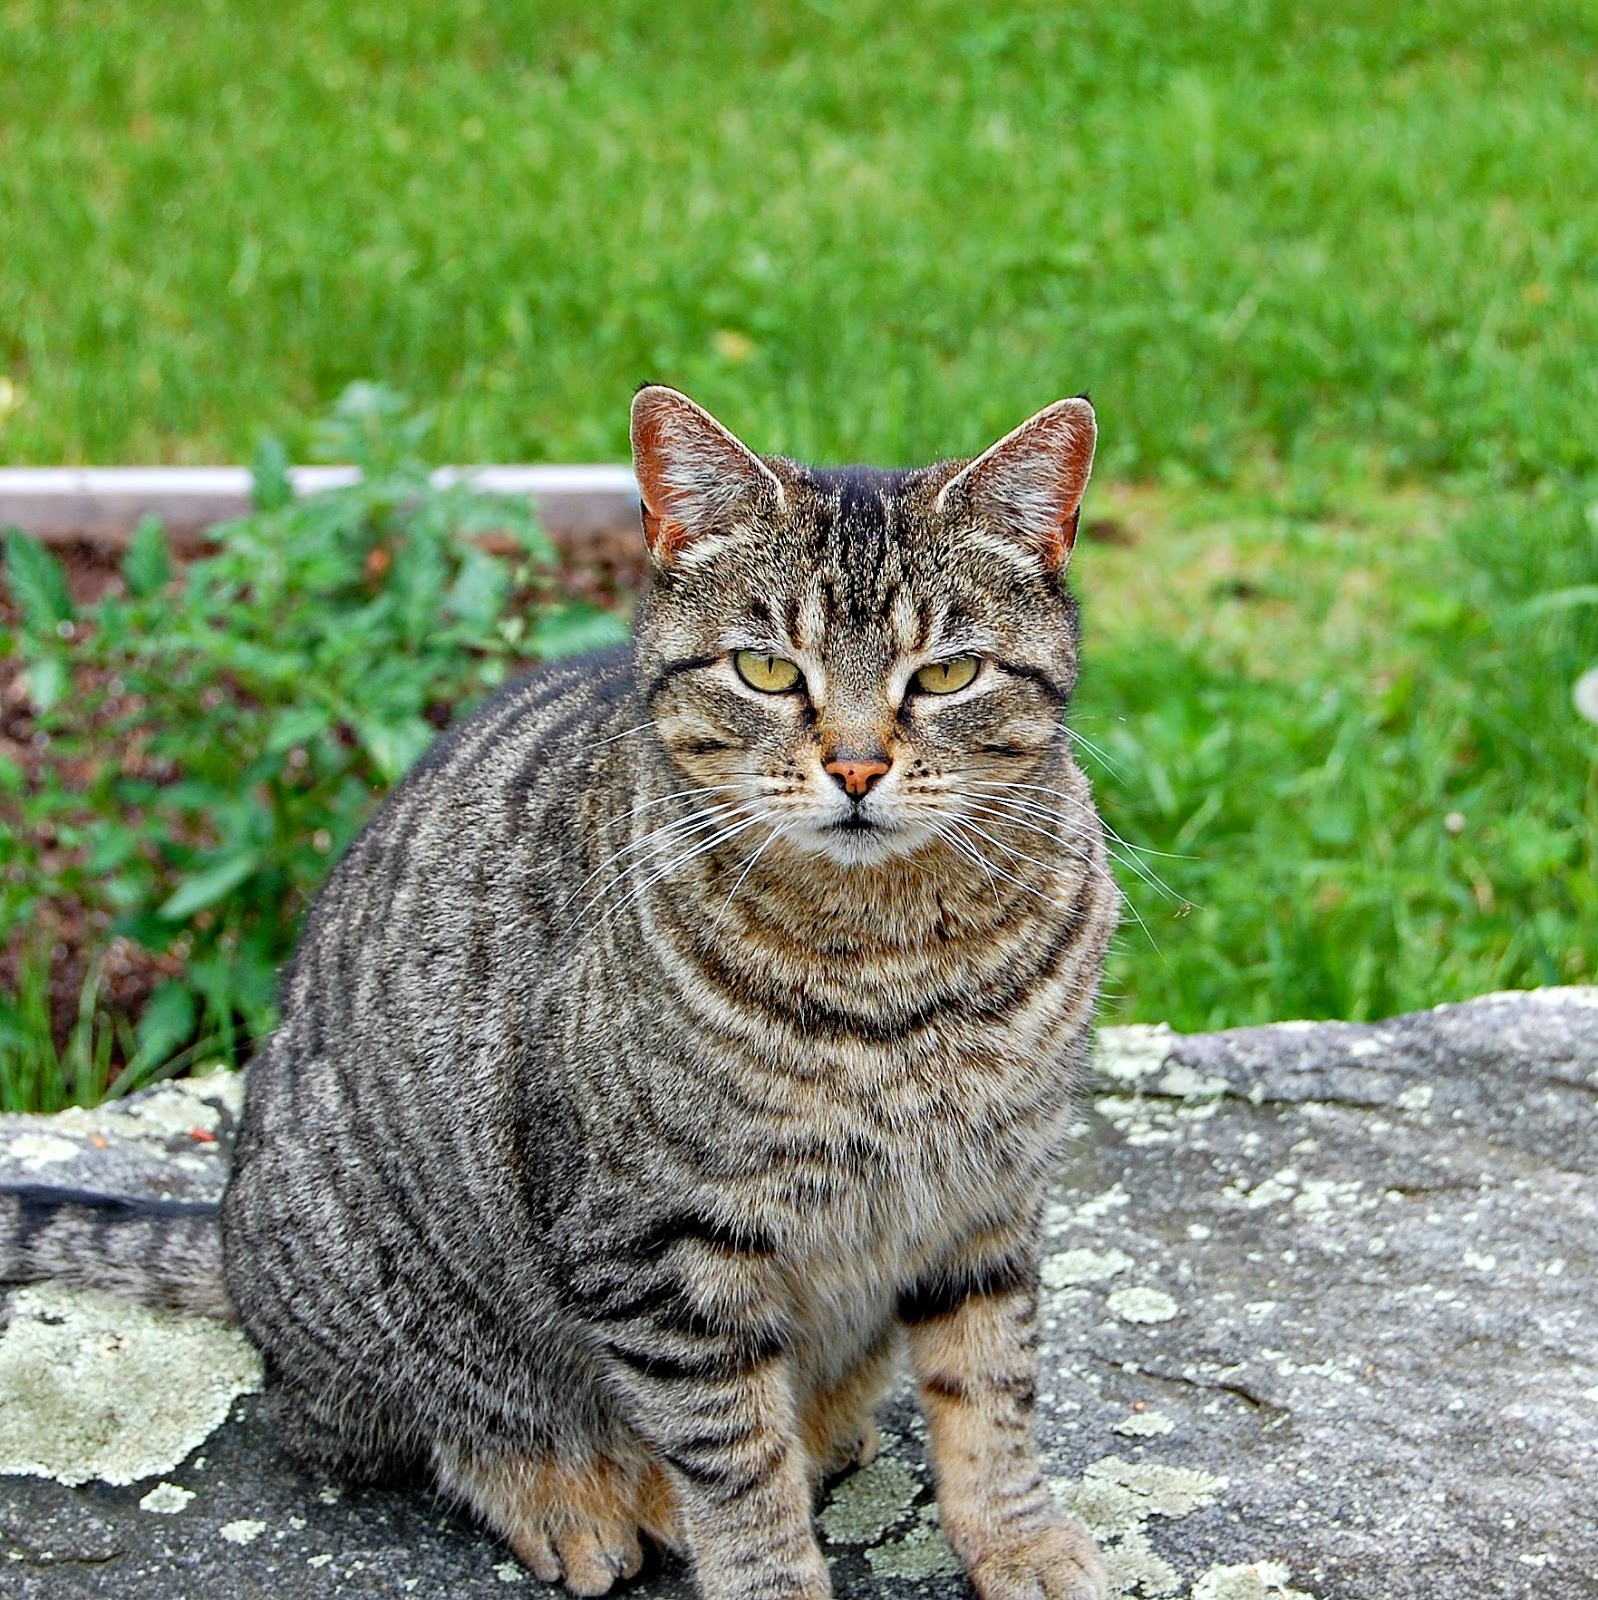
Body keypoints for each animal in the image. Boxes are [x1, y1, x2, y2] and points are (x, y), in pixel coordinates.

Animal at [6, 387, 1119, 1600]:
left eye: (948, 676)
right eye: (768, 671)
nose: (858, 767)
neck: (891, 965)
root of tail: (228, 1240)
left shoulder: (986, 1200)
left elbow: (990, 1397)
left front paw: (1018, 1541)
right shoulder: (657, 1248)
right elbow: (737, 1466)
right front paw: (772, 1574)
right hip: (394, 1298)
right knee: (403, 1424)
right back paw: (572, 1497)